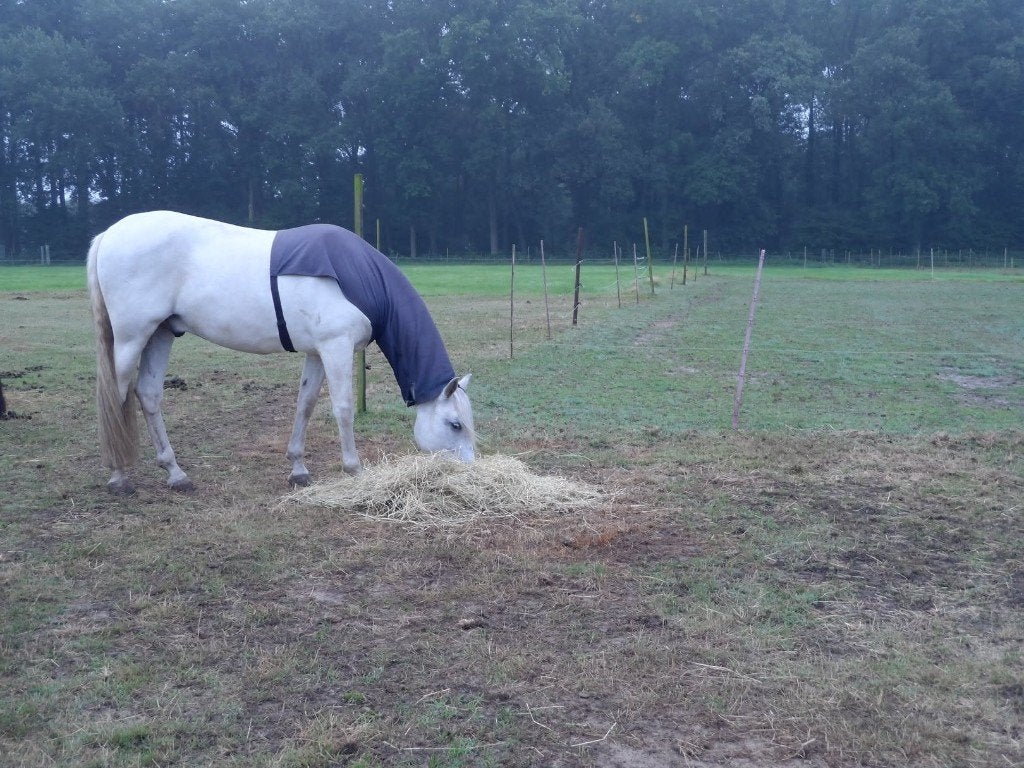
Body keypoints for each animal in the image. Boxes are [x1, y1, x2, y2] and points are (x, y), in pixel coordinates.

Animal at [87, 211, 475, 495]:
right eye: (455, 424)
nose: (470, 471)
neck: (360, 277)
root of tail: (107, 235)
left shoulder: (317, 352)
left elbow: (305, 405)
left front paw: (298, 469)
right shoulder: (336, 347)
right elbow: (343, 409)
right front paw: (354, 469)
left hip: (161, 334)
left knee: (149, 395)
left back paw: (175, 473)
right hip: (131, 339)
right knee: (117, 398)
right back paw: (119, 476)